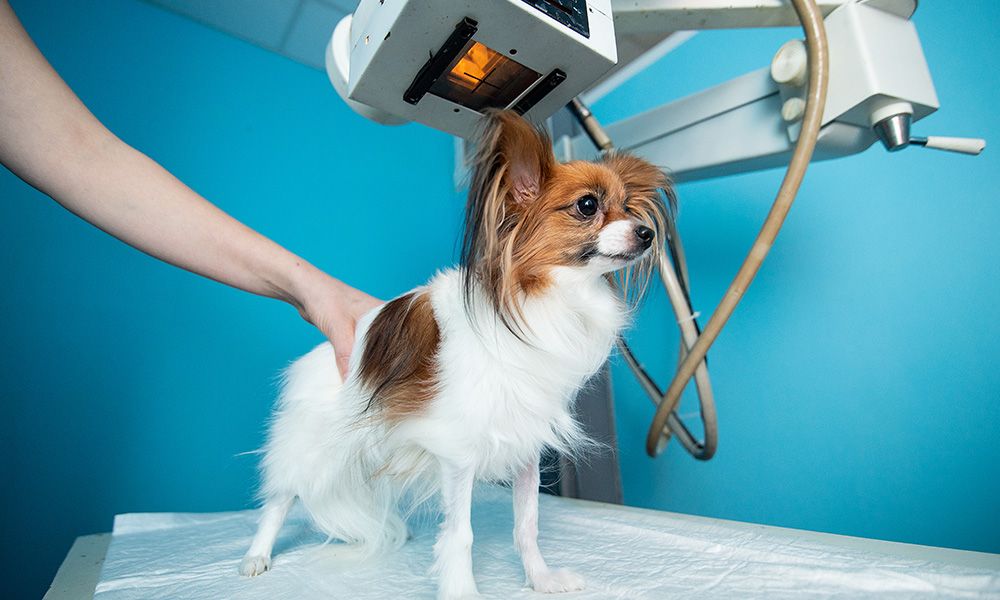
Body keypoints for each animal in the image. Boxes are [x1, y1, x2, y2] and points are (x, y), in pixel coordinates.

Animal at [238, 110, 668, 596]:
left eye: (630, 207)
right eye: (588, 206)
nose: (647, 233)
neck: (545, 297)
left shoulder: (525, 446)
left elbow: (527, 525)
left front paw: (540, 579)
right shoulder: (458, 452)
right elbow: (460, 533)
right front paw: (461, 589)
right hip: (308, 445)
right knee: (279, 498)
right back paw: (257, 555)